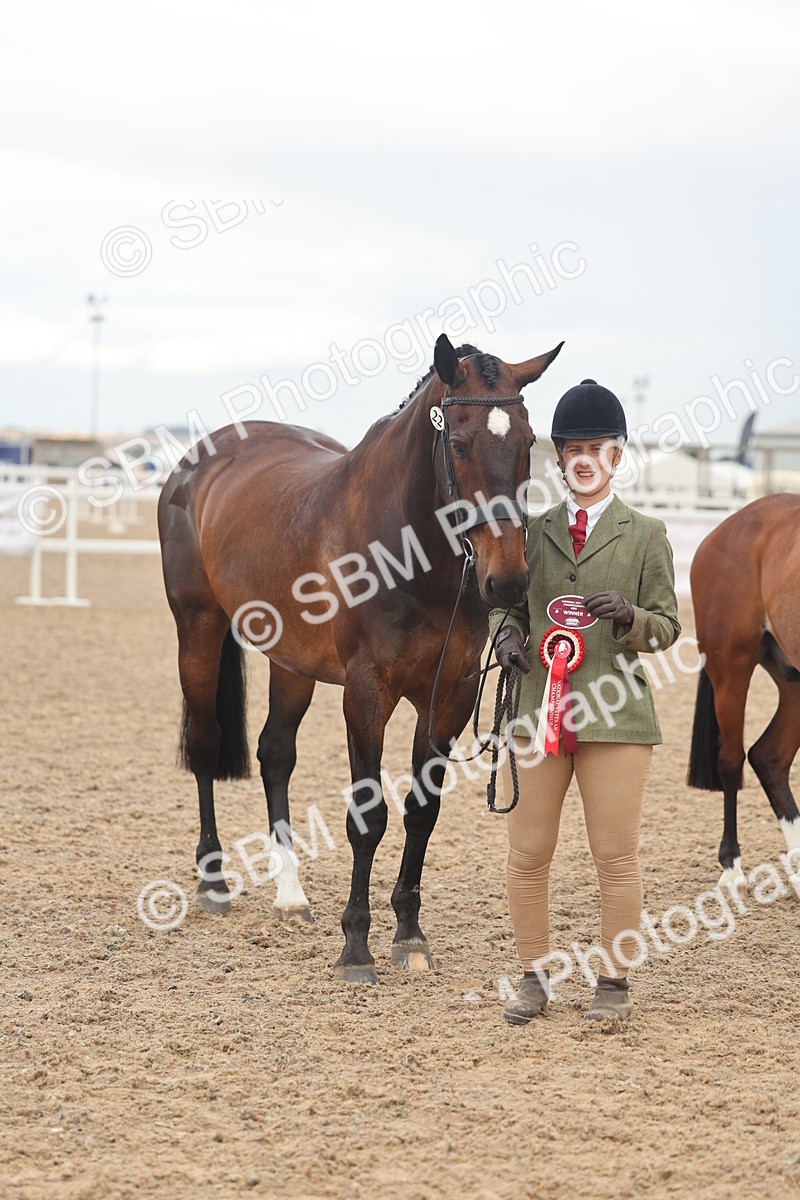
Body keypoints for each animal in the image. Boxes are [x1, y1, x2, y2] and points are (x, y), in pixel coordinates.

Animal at [157, 333, 563, 984]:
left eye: (528, 443)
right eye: (458, 443)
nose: (506, 582)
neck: (409, 554)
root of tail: (199, 459)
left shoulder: (447, 696)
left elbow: (421, 812)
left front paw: (410, 935)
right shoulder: (367, 693)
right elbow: (367, 818)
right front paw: (356, 946)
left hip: (290, 663)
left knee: (275, 754)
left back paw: (291, 896)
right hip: (197, 627)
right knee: (204, 740)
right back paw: (214, 879)